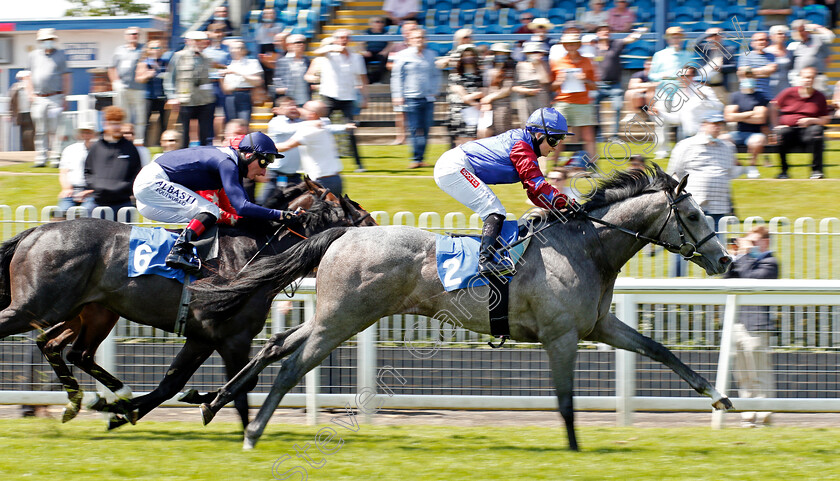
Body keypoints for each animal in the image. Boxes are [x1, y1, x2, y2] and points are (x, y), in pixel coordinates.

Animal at [197, 166, 736, 450]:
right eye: (692, 215)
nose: (726, 259)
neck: (586, 246)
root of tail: (345, 232)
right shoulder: (560, 336)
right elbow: (565, 398)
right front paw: (574, 447)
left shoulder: (600, 325)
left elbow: (660, 351)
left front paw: (719, 397)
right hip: (342, 319)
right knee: (293, 365)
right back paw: (252, 430)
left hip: (336, 314)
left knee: (276, 344)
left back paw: (213, 401)